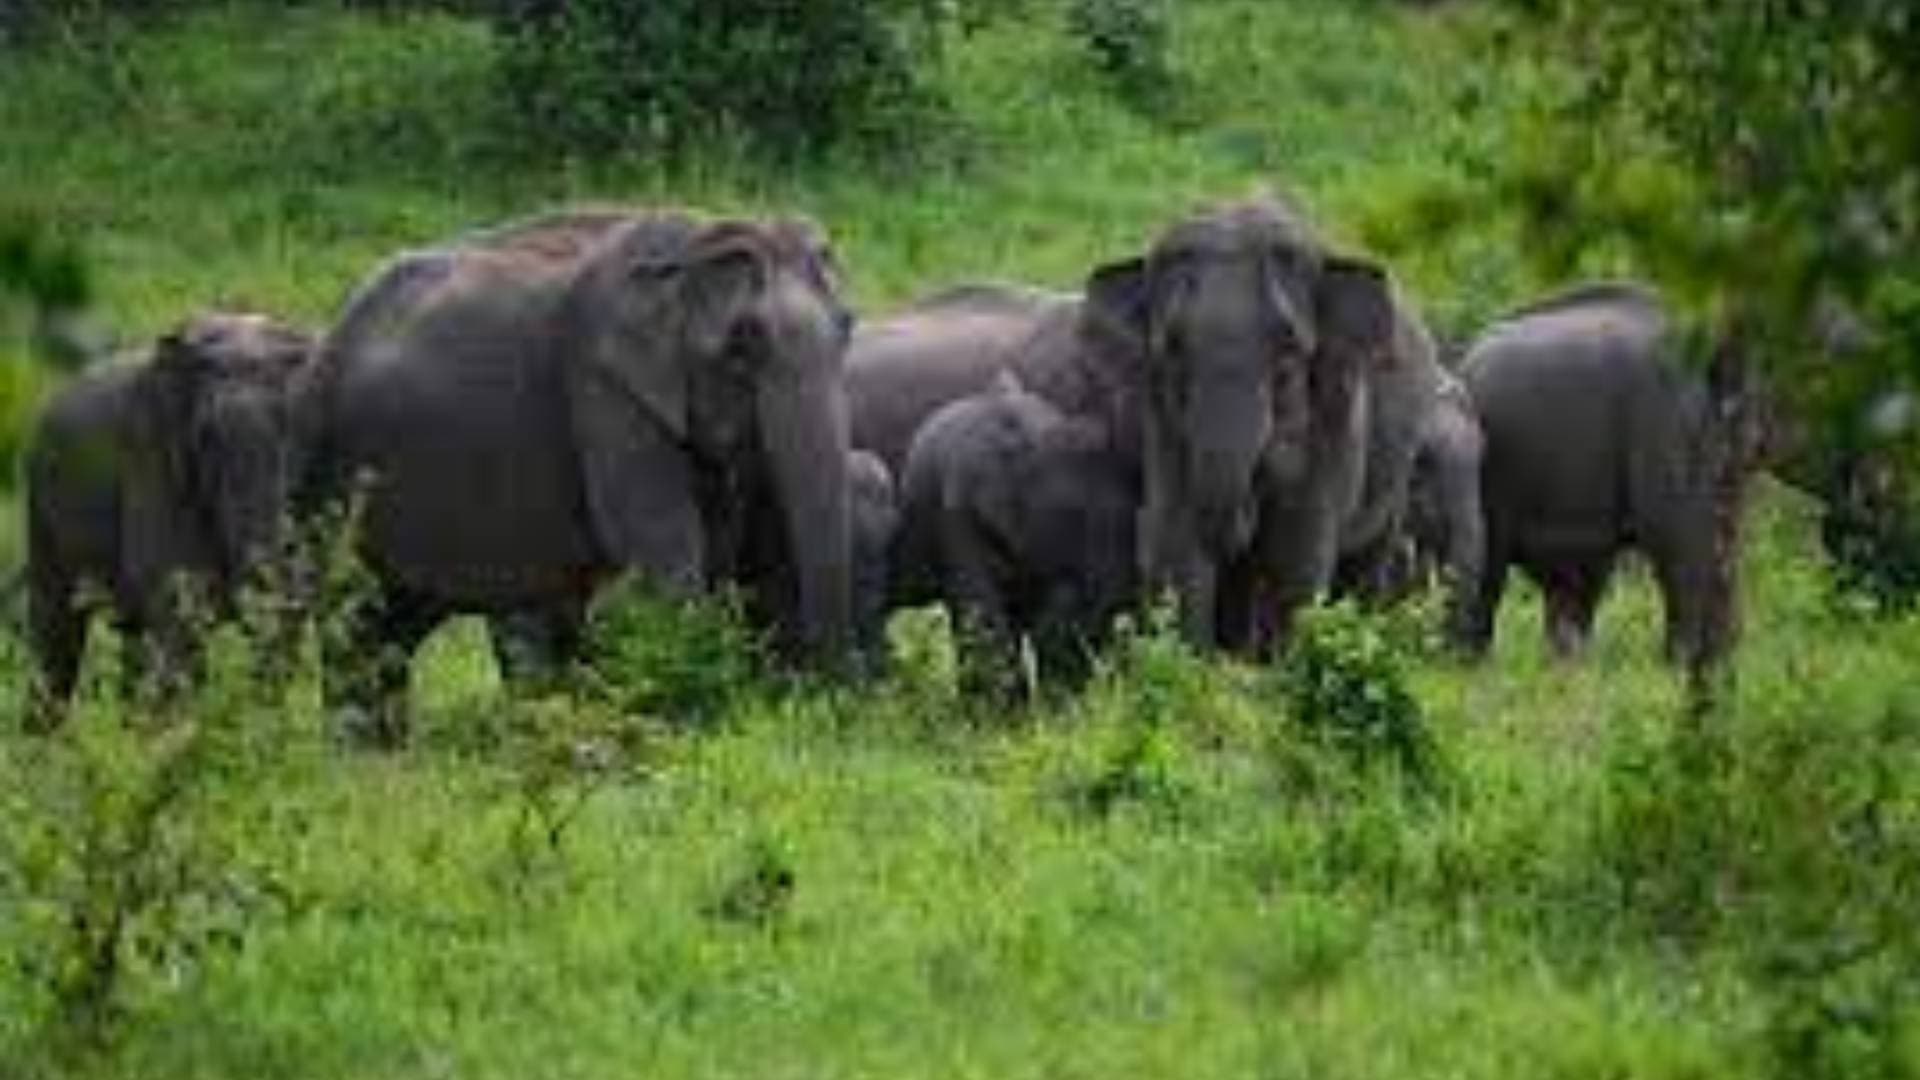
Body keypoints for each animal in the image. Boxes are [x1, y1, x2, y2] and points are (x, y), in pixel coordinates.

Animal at [295, 208, 857, 727]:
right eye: (742, 347)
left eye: (847, 328)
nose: (820, 704)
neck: (694, 242)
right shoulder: (603, 389)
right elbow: (662, 549)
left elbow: (713, 545)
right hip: (329, 471)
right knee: (356, 614)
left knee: (393, 626)